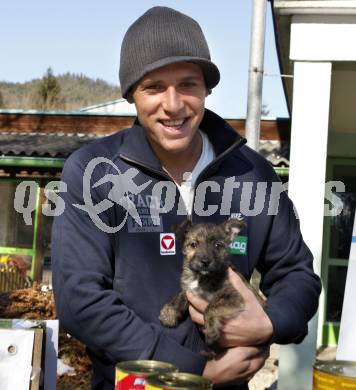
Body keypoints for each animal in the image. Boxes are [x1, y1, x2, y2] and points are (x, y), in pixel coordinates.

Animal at [158, 218, 253, 348]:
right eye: (193, 244)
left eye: (218, 245)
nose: (205, 261)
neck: (201, 277)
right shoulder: (190, 290)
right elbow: (180, 295)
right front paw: (168, 313)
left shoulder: (234, 296)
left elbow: (211, 307)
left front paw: (211, 331)